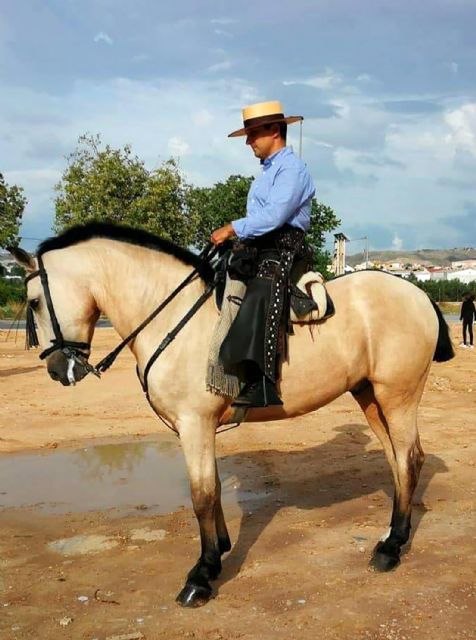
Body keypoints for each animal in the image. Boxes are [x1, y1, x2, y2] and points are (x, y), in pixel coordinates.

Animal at [10, 225, 454, 608]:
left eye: (34, 301)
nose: (57, 370)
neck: (173, 319)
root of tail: (417, 293)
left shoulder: (195, 424)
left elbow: (202, 495)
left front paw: (202, 574)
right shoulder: (197, 429)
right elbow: (215, 486)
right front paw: (220, 549)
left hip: (397, 396)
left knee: (409, 459)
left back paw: (392, 548)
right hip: (370, 397)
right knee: (397, 461)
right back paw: (391, 534)